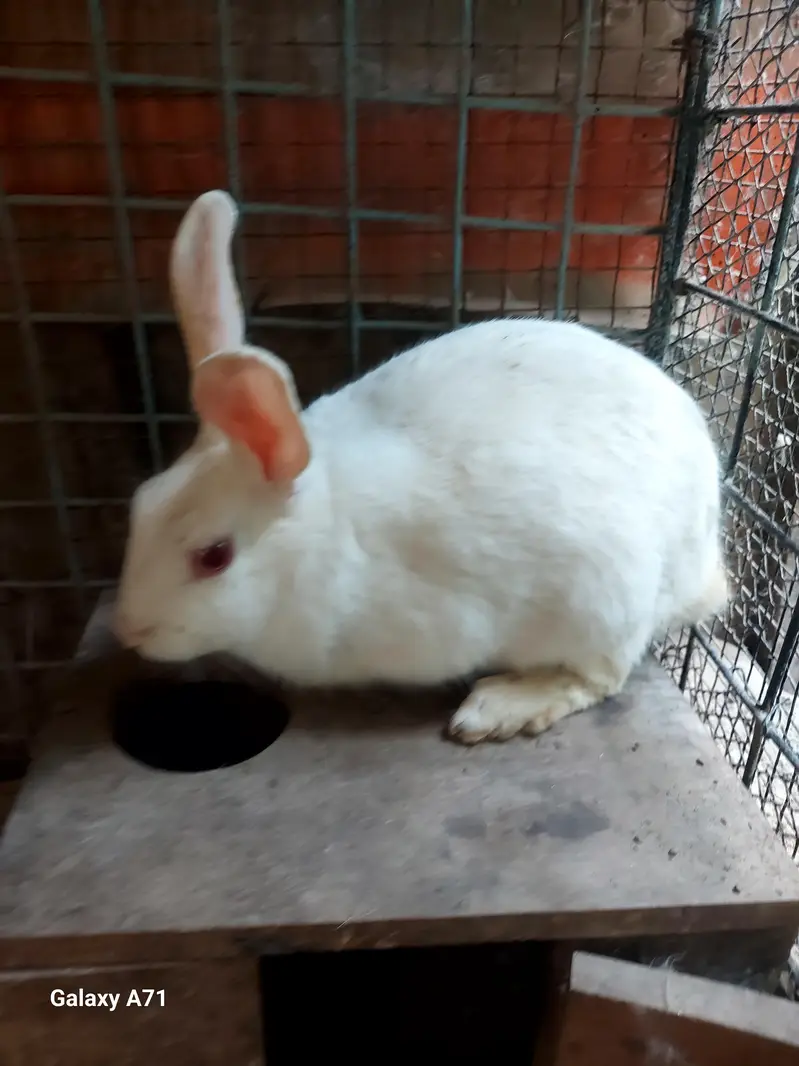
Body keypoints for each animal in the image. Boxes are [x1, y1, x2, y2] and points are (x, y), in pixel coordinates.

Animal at [113, 189, 729, 745]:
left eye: (214, 557)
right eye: (140, 505)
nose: (129, 631)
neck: (324, 536)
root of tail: (703, 566)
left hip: (605, 600)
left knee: (598, 678)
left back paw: (496, 709)